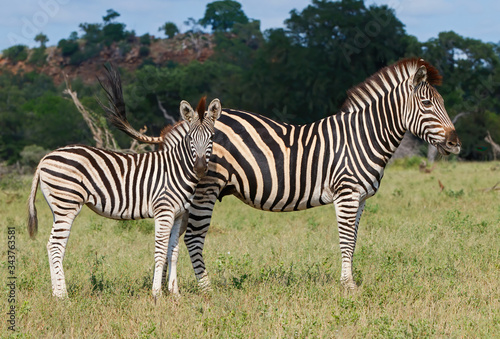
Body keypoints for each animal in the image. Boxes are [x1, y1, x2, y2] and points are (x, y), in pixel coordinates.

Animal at [26, 65, 221, 298]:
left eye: (211, 137)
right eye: (190, 138)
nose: (200, 168)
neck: (176, 168)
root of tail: (45, 158)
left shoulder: (178, 214)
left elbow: (173, 251)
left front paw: (175, 294)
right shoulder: (163, 212)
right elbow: (160, 250)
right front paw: (157, 293)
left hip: (58, 206)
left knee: (54, 245)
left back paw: (57, 294)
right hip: (67, 203)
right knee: (55, 246)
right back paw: (63, 296)